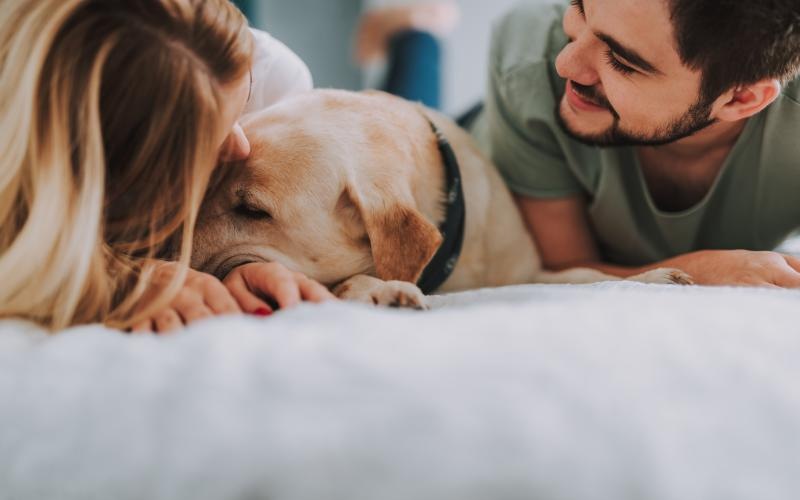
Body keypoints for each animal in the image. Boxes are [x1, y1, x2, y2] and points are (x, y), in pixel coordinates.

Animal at [191, 90, 692, 308]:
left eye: (252, 211)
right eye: (206, 186)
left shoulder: (528, 272)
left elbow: (582, 275)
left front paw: (651, 277)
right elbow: (351, 280)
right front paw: (386, 288)